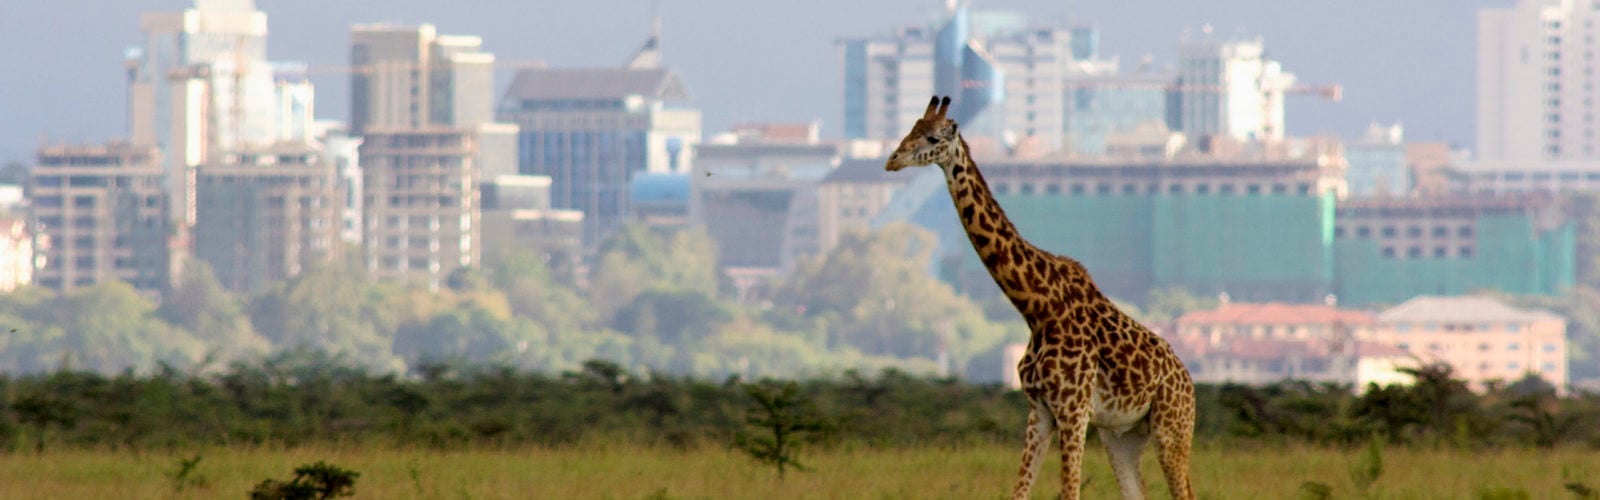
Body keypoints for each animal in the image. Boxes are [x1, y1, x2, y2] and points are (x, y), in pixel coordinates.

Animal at [883, 95, 1196, 496]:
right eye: (912, 127)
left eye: (933, 137)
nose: (892, 160)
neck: (1037, 308)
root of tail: (1187, 380)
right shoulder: (1040, 411)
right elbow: (1019, 491)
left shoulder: (1074, 411)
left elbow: (1070, 491)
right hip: (1121, 435)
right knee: (1136, 491)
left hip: (1172, 427)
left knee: (1184, 491)